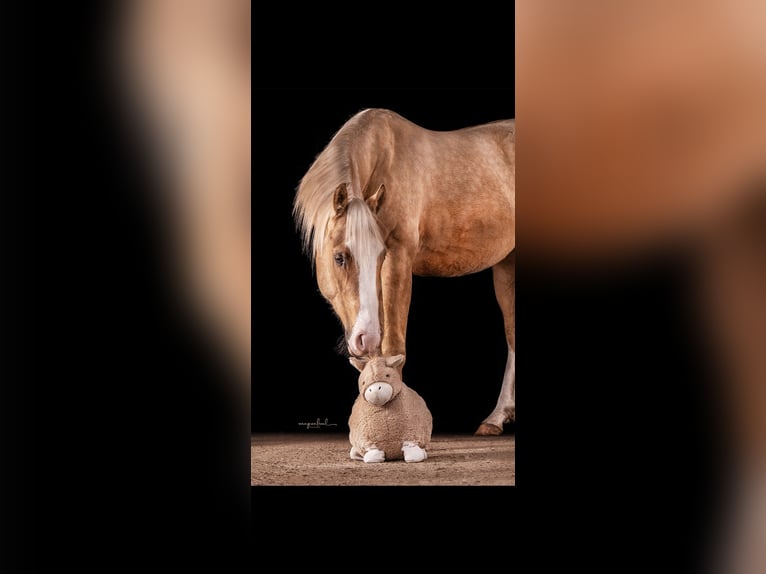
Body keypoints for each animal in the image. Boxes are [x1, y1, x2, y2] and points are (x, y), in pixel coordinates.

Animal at [294, 108, 515, 435]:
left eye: (380, 255)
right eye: (339, 257)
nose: (365, 338)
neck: (384, 159)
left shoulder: (398, 260)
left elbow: (394, 345)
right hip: (506, 266)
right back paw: (496, 419)